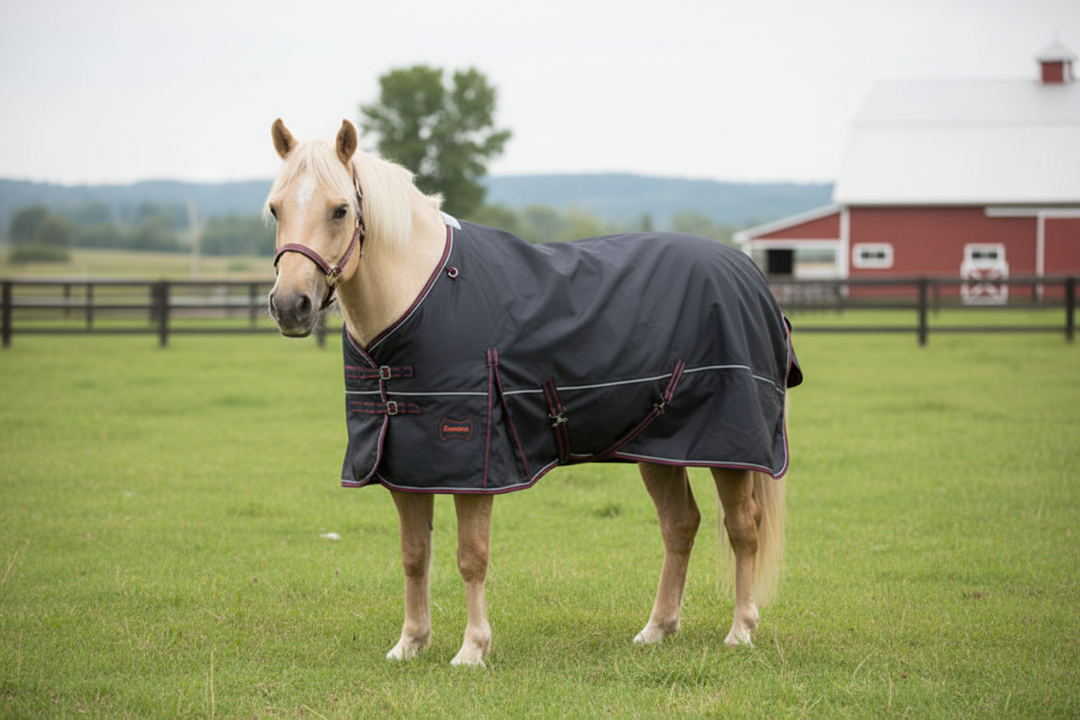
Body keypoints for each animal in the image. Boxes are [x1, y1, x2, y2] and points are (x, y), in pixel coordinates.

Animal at [266, 118, 801, 666]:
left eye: (340, 209)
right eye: (275, 208)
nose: (290, 305)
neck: (421, 296)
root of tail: (748, 275)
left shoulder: (476, 468)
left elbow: (471, 557)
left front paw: (472, 650)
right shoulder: (406, 464)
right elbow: (415, 556)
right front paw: (410, 644)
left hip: (731, 450)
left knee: (743, 528)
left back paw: (740, 631)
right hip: (658, 445)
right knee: (680, 525)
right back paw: (657, 629)